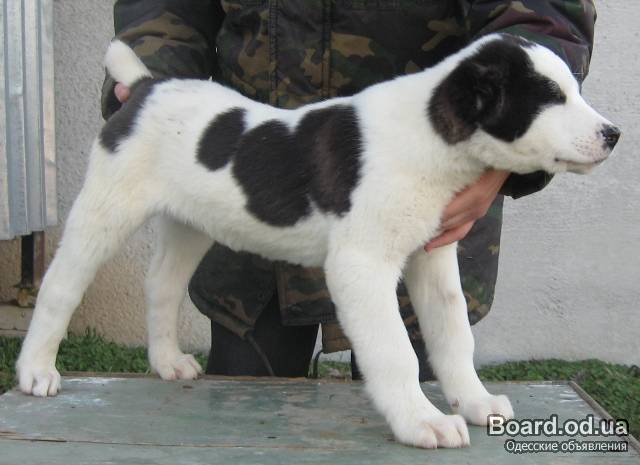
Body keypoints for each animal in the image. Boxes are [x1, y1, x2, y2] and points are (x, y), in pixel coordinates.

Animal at [16, 33, 620, 449]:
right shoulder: (361, 265)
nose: (613, 134)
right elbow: (396, 352)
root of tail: (144, 89)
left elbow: (452, 337)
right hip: (105, 208)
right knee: (60, 288)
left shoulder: (432, 257)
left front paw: (472, 401)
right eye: (549, 97)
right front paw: (421, 421)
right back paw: (36, 372)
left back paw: (167, 362)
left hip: (189, 225)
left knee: (161, 285)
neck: (430, 129)